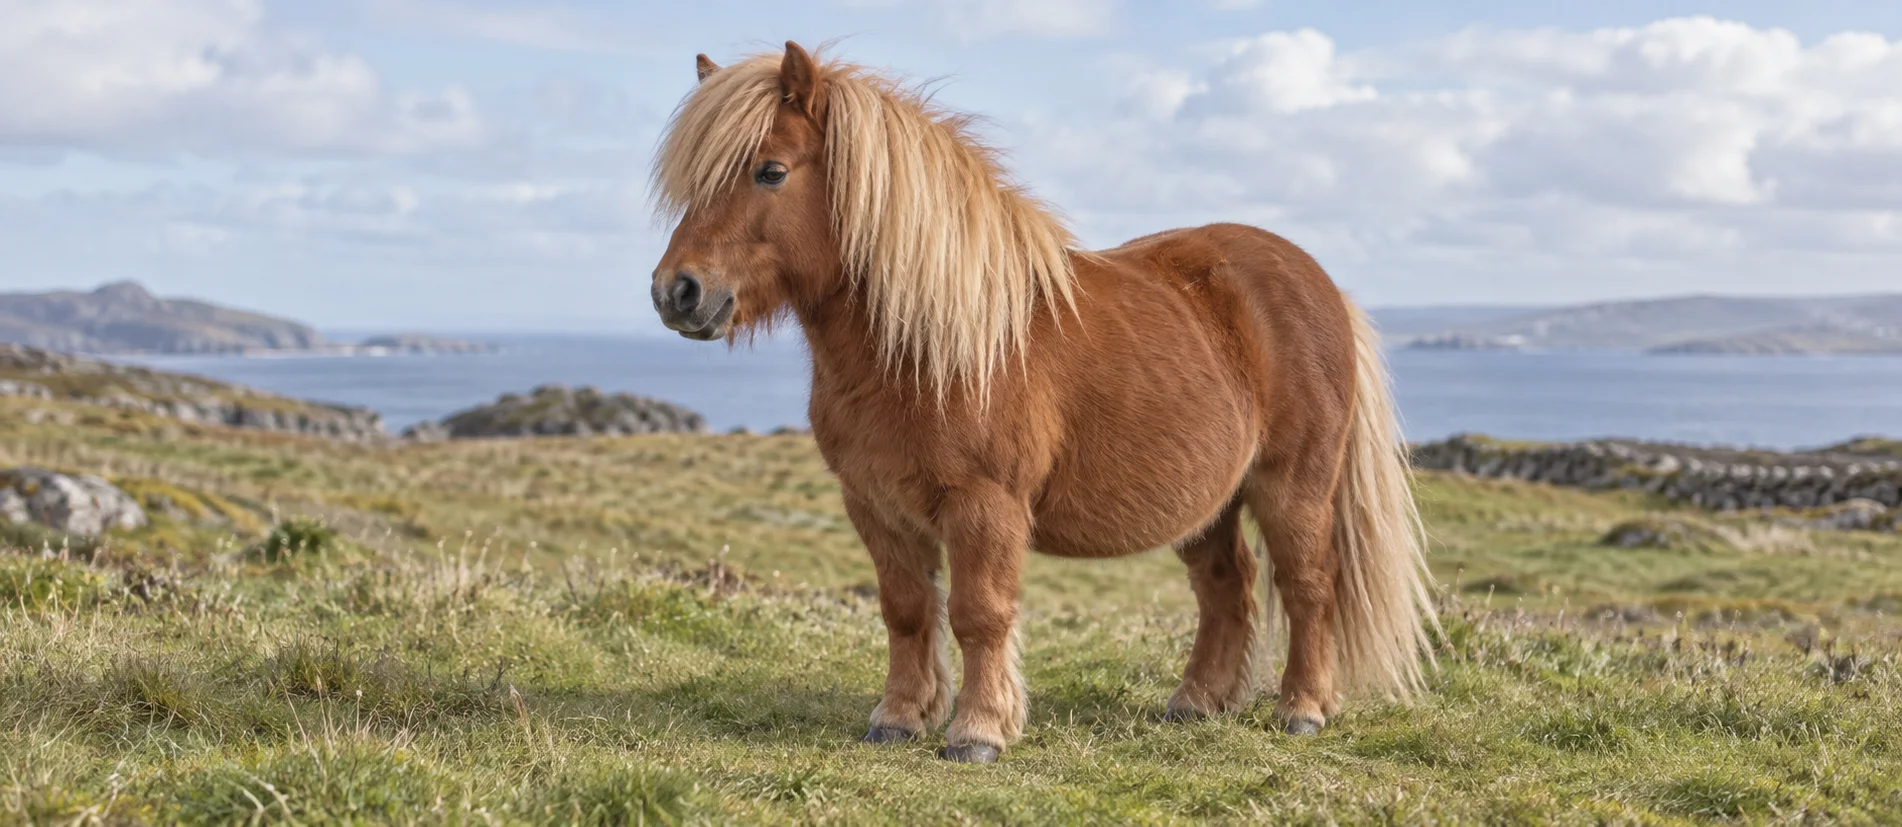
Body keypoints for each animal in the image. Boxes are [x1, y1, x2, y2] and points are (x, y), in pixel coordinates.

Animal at [648, 41, 1439, 763]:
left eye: (771, 170)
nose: (676, 292)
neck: (932, 346)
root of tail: (1319, 282)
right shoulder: (875, 505)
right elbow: (905, 610)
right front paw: (899, 718)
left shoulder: (985, 505)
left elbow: (978, 614)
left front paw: (978, 731)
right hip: (1209, 504)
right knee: (1227, 588)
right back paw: (1195, 703)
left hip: (1293, 487)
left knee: (1308, 585)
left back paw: (1303, 708)